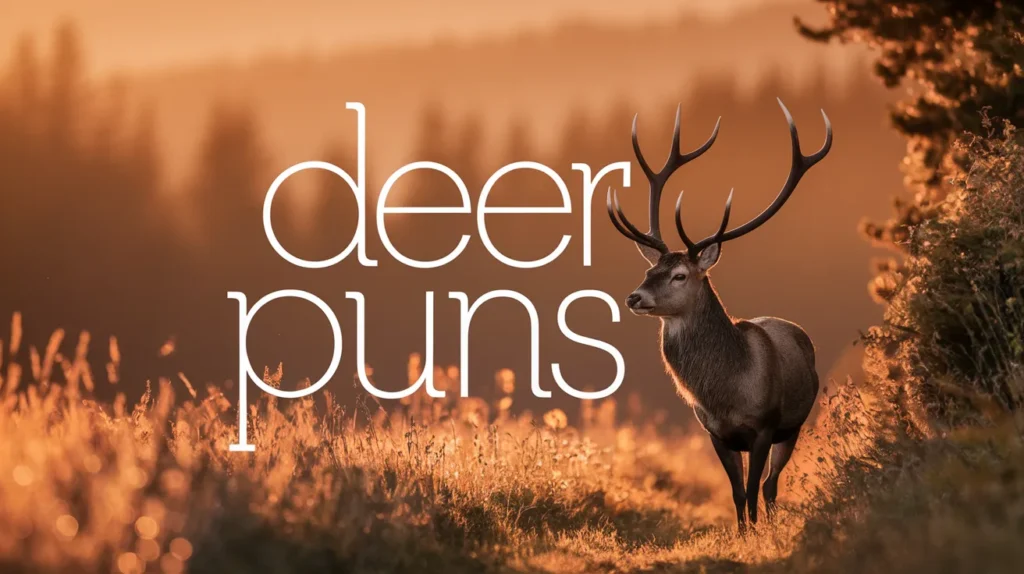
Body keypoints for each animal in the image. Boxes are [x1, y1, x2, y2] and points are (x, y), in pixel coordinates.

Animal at [606, 99, 832, 530]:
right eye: (649, 270)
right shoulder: (716, 434)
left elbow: (754, 491)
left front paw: (758, 534)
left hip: (794, 425)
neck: (726, 393)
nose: (633, 298)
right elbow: (736, 494)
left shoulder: (763, 427)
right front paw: (742, 534)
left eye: (679, 275)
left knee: (771, 486)